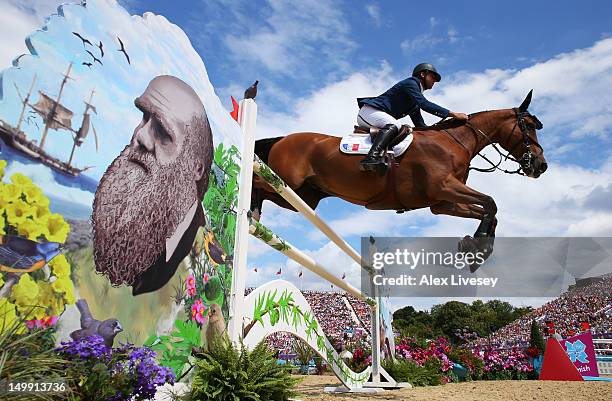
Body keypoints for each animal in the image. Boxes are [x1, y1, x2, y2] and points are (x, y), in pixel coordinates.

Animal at [251, 90, 548, 272]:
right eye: (530, 126)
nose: (541, 166)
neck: (455, 142)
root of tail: (282, 139)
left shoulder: (442, 202)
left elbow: (489, 211)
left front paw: (474, 249)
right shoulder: (445, 187)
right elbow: (491, 203)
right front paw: (476, 246)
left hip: (303, 197)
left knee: (267, 192)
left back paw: (254, 217)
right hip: (286, 181)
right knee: (257, 182)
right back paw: (247, 212)